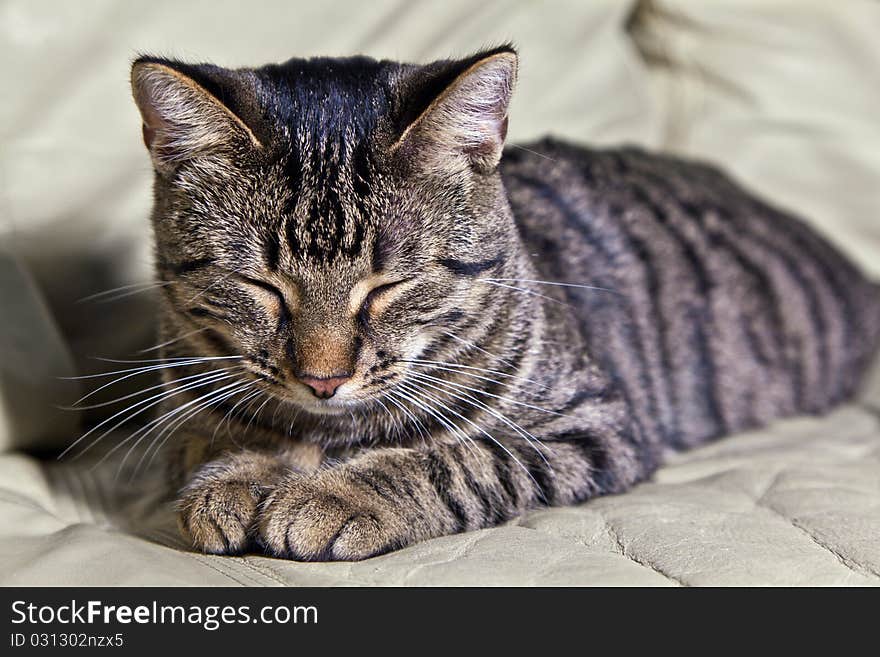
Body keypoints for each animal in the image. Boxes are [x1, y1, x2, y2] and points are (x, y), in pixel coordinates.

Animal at [129, 46, 880, 560]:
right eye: (261, 284)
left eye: (389, 284)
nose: (323, 378)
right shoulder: (187, 408)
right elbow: (222, 435)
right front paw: (245, 475)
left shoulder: (591, 424)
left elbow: (457, 460)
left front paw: (333, 494)